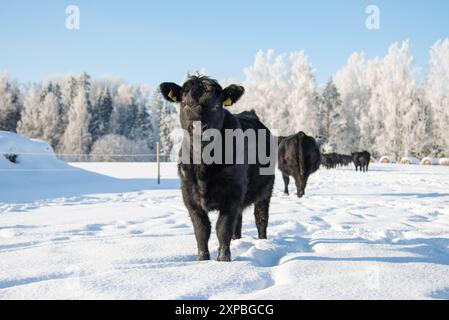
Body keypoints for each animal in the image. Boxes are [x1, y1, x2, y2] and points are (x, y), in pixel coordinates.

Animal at [159, 75, 274, 262]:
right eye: (185, 103)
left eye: (216, 106)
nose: (199, 128)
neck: (203, 167)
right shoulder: (189, 195)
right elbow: (201, 230)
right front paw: (203, 260)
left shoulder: (232, 193)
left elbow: (223, 228)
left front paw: (223, 260)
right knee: (238, 221)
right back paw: (237, 240)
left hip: (266, 189)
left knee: (261, 218)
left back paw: (264, 242)